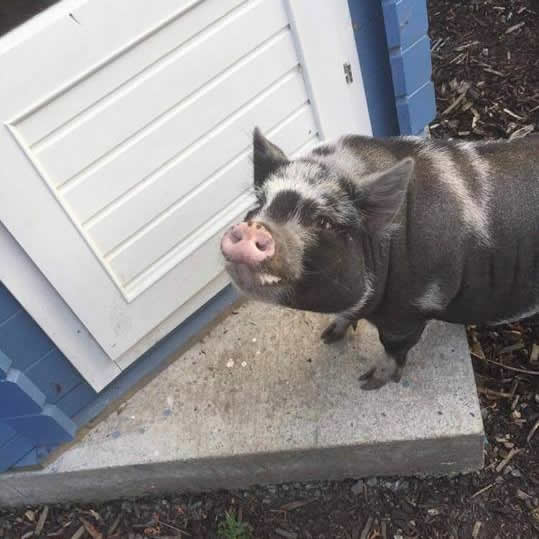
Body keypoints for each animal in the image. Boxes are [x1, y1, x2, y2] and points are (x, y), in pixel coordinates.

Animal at [220, 130, 539, 392]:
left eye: (324, 221)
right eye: (259, 205)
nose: (254, 227)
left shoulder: (409, 311)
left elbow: (394, 348)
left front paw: (368, 383)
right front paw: (327, 336)